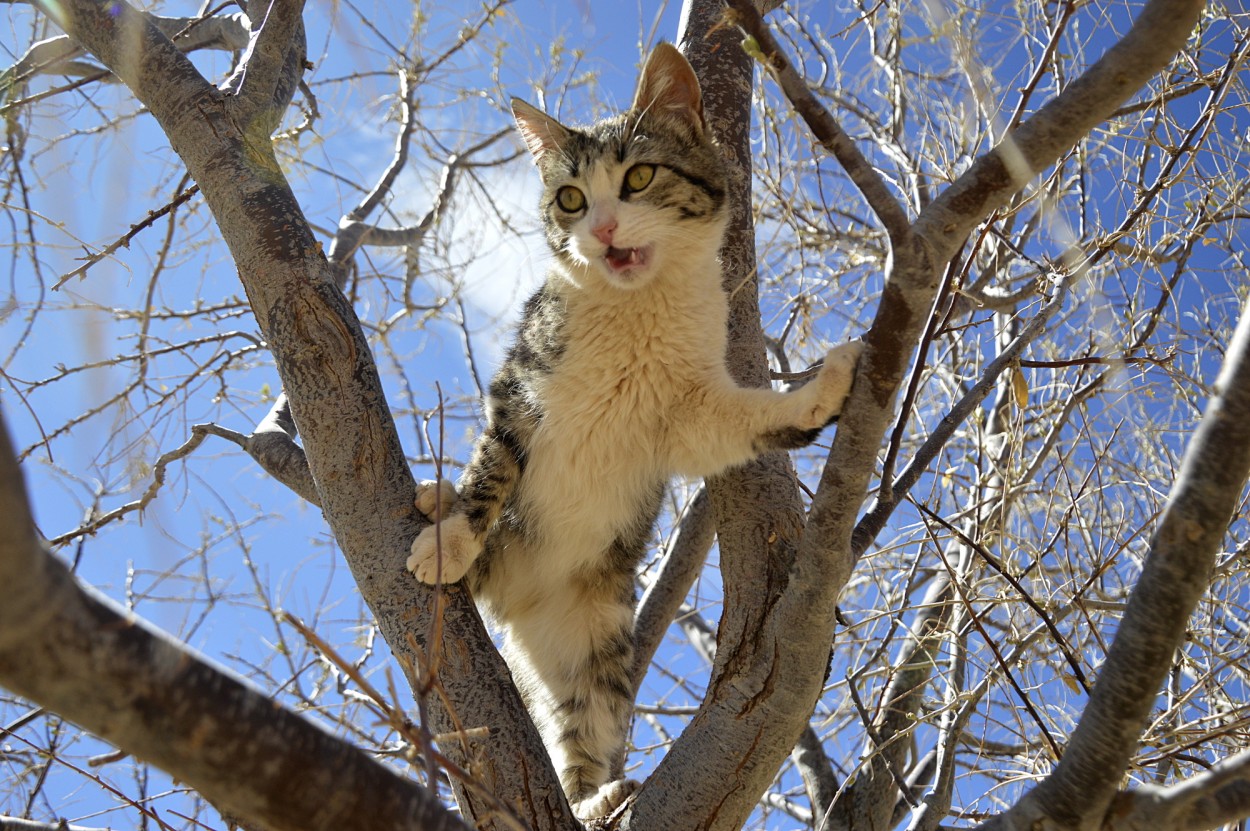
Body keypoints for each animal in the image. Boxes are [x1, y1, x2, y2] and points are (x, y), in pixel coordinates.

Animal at [405, 43, 865, 814]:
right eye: (569, 198)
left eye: (640, 176)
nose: (601, 231)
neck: (635, 310)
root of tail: (511, 596)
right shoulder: (521, 382)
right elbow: (495, 464)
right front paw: (453, 536)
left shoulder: (689, 413)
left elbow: (750, 422)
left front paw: (822, 392)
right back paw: (439, 505)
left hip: (595, 645)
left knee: (582, 734)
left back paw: (599, 801)